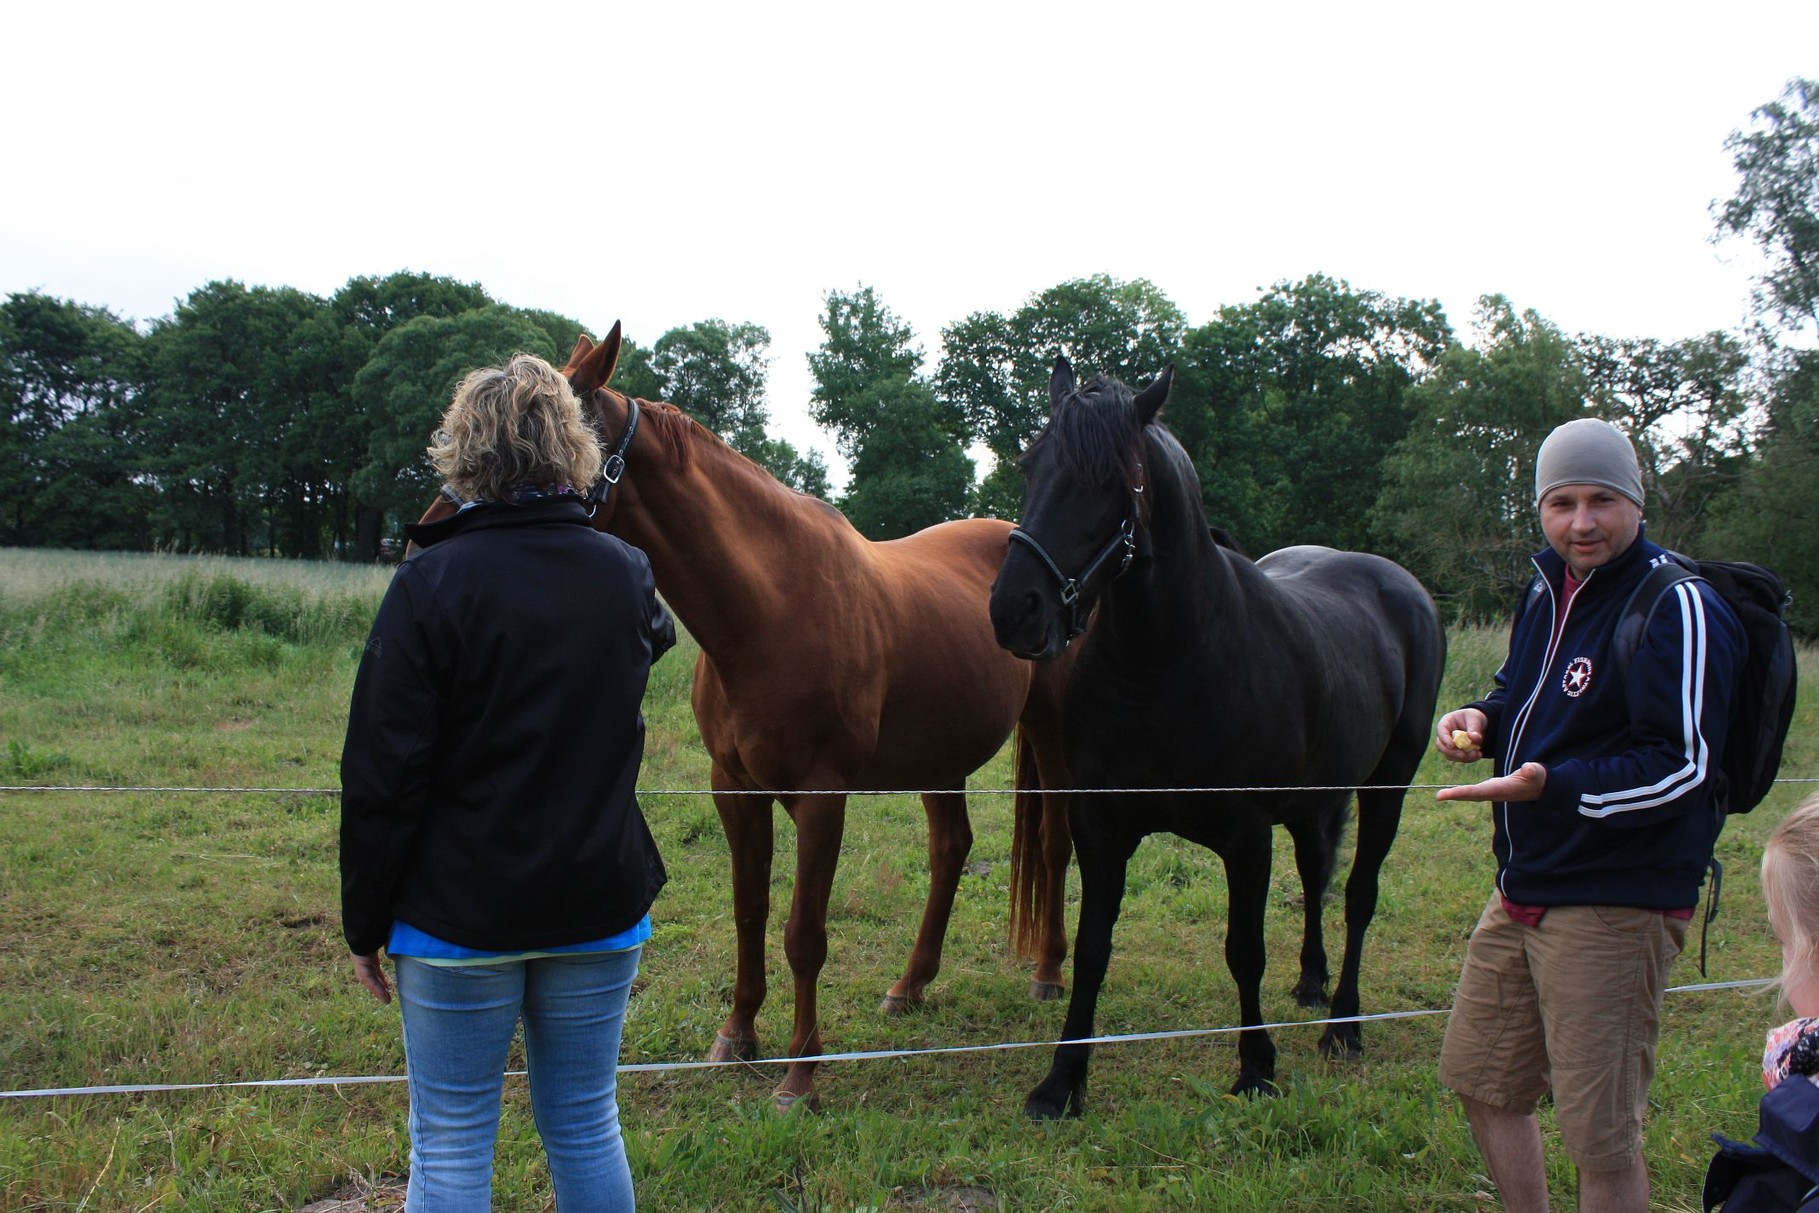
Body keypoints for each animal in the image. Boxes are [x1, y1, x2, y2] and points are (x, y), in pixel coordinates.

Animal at [418, 325, 1069, 1112]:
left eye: (532, 442)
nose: (424, 538)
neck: (769, 610)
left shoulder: (821, 798)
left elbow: (803, 933)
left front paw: (799, 1077)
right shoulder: (734, 788)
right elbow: (749, 911)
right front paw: (738, 1037)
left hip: (1051, 729)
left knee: (1056, 843)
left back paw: (1048, 972)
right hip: (940, 756)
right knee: (950, 850)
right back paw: (910, 985)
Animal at [989, 358, 1440, 1120]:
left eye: (1114, 479)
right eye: (1031, 464)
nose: (1014, 608)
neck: (1164, 662)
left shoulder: (1245, 835)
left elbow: (1243, 951)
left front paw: (1256, 1067)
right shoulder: (1100, 826)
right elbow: (1092, 948)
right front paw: (1061, 1081)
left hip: (1389, 784)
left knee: (1357, 894)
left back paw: (1343, 1025)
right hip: (1316, 801)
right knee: (1317, 878)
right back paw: (1311, 983)